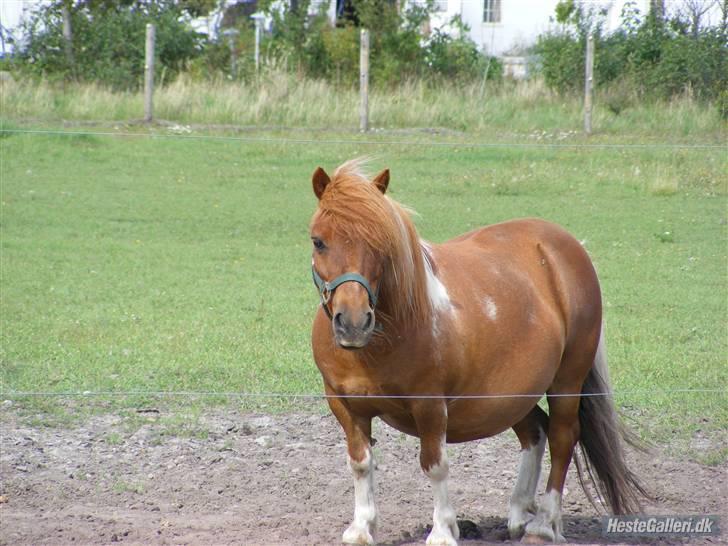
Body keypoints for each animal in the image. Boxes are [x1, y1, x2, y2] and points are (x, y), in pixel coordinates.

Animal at [308, 159, 644, 540]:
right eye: (318, 241)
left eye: (381, 243)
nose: (352, 322)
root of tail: (565, 245)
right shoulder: (345, 406)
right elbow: (361, 463)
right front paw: (362, 528)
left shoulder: (430, 406)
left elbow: (435, 465)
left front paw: (443, 531)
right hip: (512, 393)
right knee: (535, 431)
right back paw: (519, 512)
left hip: (566, 381)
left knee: (561, 437)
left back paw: (544, 524)